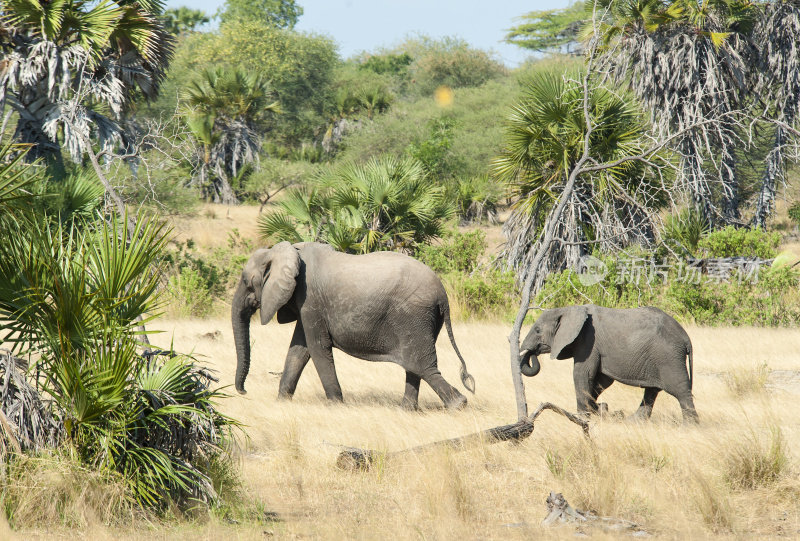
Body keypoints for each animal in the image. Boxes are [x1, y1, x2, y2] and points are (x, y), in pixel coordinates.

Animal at [231, 242, 476, 410]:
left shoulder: (311, 301)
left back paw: (457, 405)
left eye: (245, 282)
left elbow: (317, 348)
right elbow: (298, 350)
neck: (288, 250)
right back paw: (407, 410)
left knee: (422, 365)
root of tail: (443, 295)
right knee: (414, 365)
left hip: (414, 317)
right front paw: (281, 402)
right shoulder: (306, 305)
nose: (243, 391)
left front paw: (336, 406)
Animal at [520, 304, 700, 422]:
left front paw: (584, 417)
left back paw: (690, 426)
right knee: (652, 391)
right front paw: (602, 410)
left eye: (537, 330)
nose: (532, 352)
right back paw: (632, 421)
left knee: (681, 391)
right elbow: (601, 380)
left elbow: (582, 374)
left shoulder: (588, 342)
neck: (568, 309)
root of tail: (686, 338)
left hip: (669, 357)